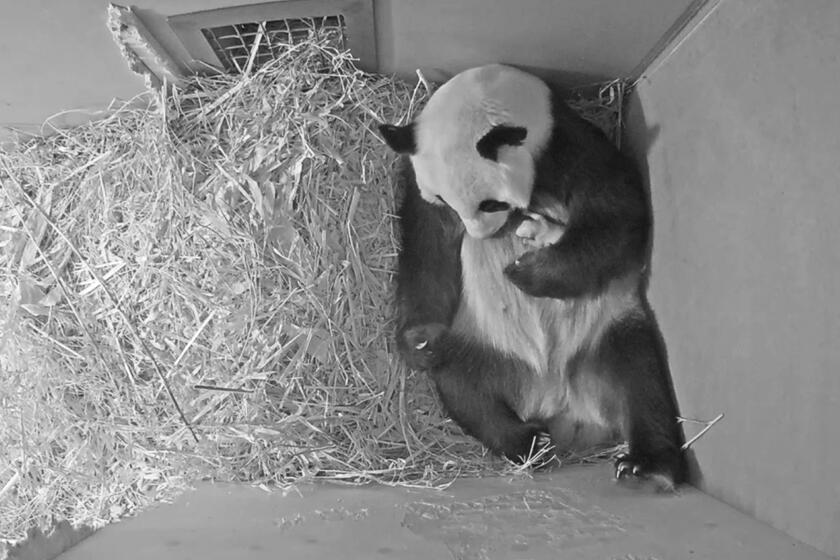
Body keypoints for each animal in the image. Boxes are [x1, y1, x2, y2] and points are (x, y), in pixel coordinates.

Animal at [378, 62, 684, 490]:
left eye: (490, 203)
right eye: (446, 202)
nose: (480, 236)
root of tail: (560, 401)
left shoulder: (573, 149)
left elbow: (616, 218)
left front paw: (525, 273)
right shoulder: (421, 189)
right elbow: (428, 252)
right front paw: (420, 341)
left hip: (609, 330)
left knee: (642, 381)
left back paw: (649, 467)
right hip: (480, 345)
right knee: (466, 392)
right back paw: (528, 442)